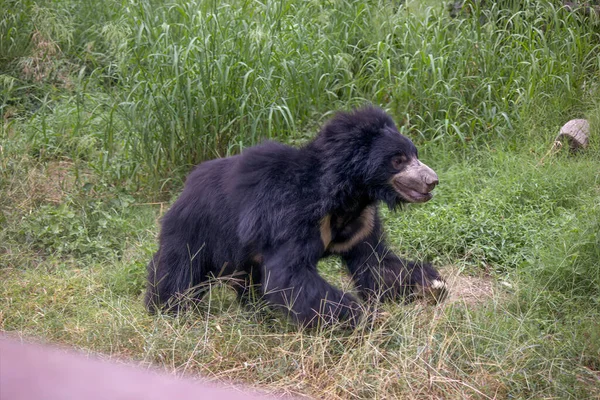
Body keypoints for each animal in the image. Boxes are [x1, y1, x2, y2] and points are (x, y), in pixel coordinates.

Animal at [144, 107, 446, 328]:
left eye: (415, 154)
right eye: (398, 160)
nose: (432, 181)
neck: (348, 195)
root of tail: (186, 186)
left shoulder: (362, 222)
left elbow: (375, 264)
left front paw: (432, 284)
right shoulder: (292, 216)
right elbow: (288, 275)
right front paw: (366, 318)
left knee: (247, 280)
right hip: (196, 229)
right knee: (177, 270)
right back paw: (167, 310)